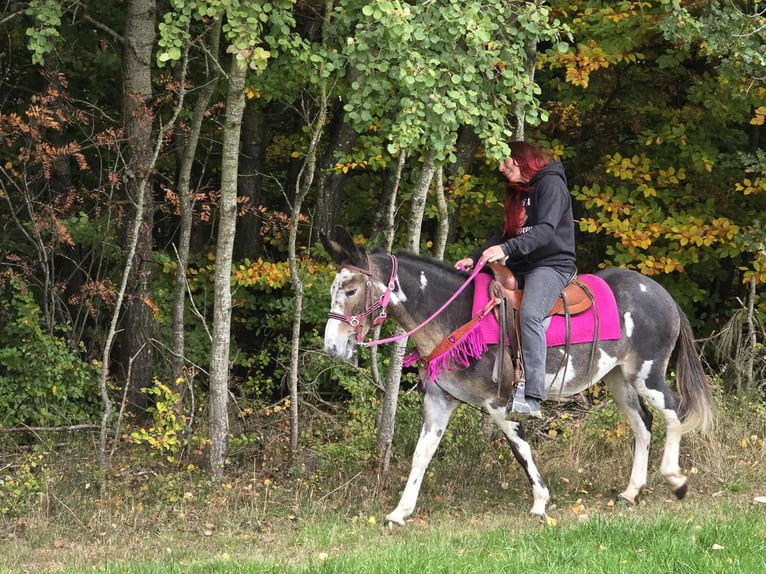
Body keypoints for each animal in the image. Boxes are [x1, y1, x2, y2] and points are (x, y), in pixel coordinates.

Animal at [320, 227, 713, 525]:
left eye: (351, 290)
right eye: (333, 291)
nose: (332, 347)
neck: (459, 315)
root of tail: (664, 296)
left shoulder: (499, 403)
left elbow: (520, 448)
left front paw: (540, 502)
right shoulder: (439, 401)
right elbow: (422, 454)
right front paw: (400, 512)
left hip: (648, 374)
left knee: (674, 412)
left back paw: (675, 480)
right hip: (618, 378)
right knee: (642, 424)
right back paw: (631, 492)